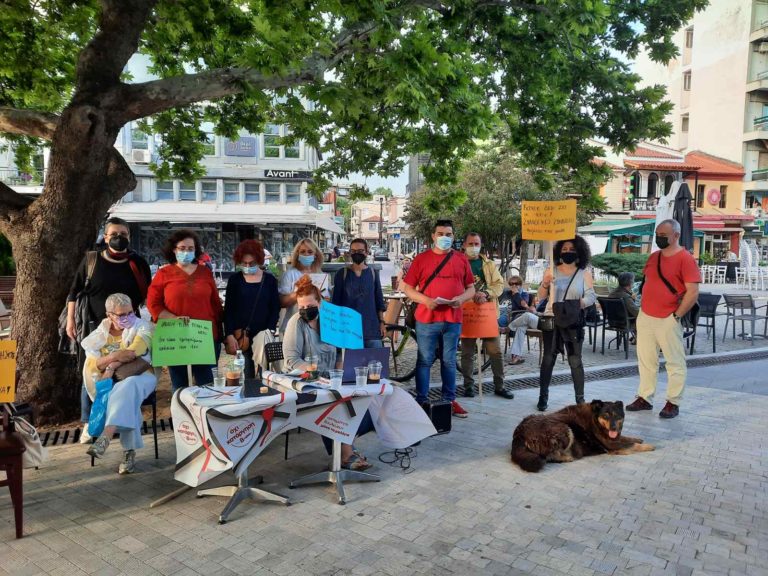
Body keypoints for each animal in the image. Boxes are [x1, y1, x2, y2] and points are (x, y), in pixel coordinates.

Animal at [510, 400, 656, 472]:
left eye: (617, 416)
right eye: (606, 416)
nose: (613, 427)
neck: (595, 419)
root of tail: (519, 434)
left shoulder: (614, 439)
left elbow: (627, 438)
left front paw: (638, 438)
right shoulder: (612, 445)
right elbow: (632, 445)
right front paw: (649, 446)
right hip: (565, 429)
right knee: (547, 456)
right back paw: (566, 457)